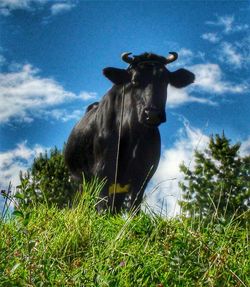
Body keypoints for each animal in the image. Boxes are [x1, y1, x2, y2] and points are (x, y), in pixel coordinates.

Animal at [64, 51, 193, 214]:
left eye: (165, 81)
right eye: (134, 81)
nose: (152, 114)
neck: (132, 136)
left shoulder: (143, 175)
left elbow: (134, 207)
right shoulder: (103, 170)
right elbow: (102, 206)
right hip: (80, 181)